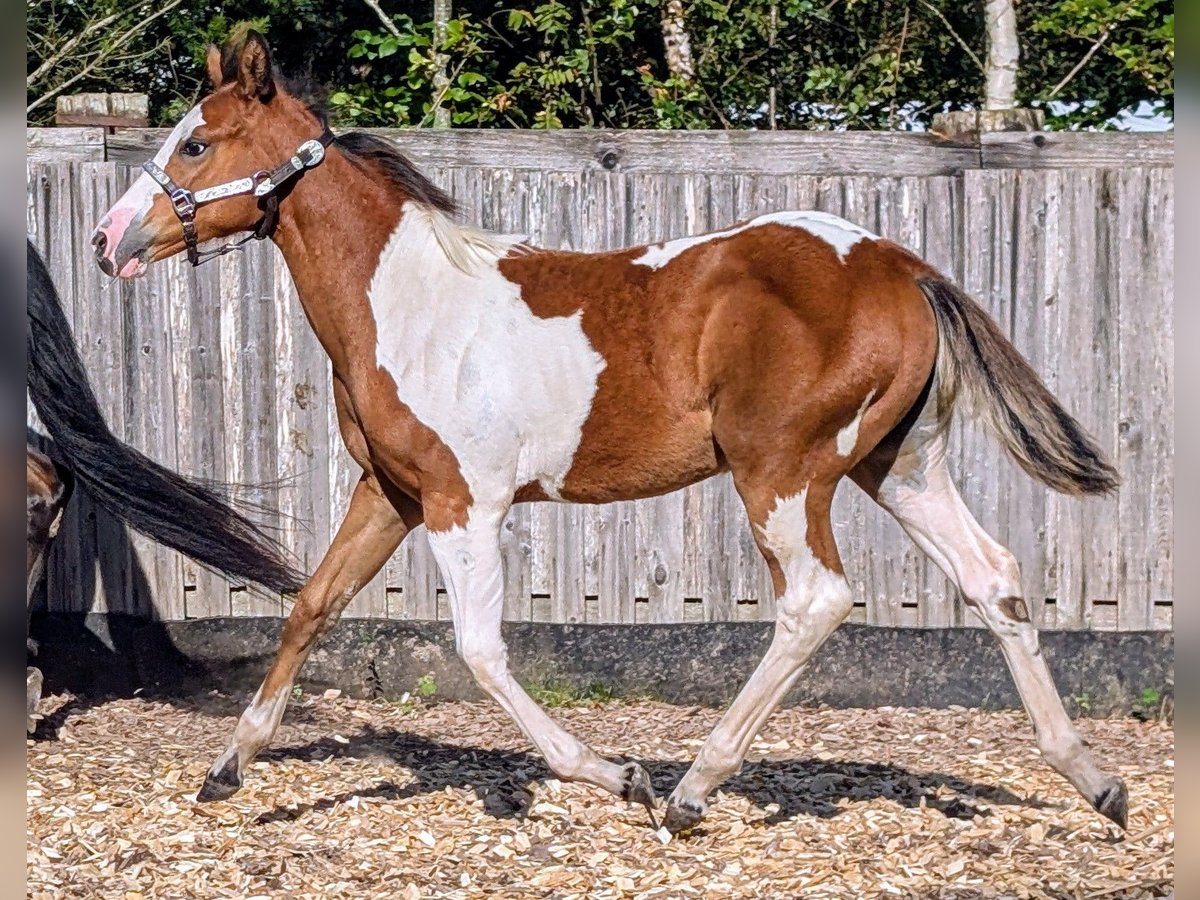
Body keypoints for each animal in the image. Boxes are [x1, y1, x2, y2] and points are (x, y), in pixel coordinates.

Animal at [91, 33, 1123, 840]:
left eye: (198, 142)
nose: (108, 241)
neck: (410, 305)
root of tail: (900, 264)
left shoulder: (466, 502)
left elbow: (480, 650)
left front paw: (616, 775)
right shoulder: (390, 492)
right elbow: (311, 605)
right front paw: (227, 769)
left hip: (783, 473)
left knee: (817, 599)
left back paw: (692, 789)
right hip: (896, 465)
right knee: (993, 577)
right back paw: (1095, 780)